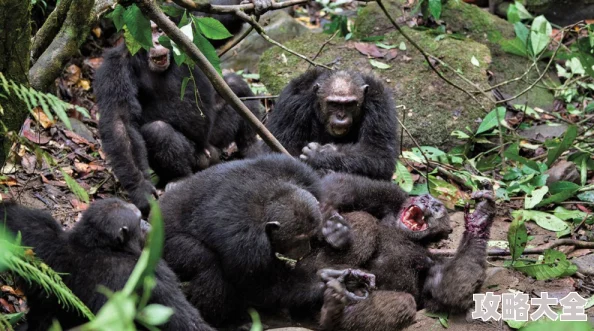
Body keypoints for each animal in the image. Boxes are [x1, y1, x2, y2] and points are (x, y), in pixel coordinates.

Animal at [0, 200, 213, 331]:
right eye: (138, 219)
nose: (146, 222)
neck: (100, 247)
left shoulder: (42, 233)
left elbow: (12, 217)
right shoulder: (153, 275)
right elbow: (179, 317)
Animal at [95, 3, 266, 217]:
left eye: (160, 29)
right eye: (148, 31)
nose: (157, 41)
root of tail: (209, 154)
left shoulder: (182, 34)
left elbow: (212, 25)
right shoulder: (115, 68)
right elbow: (120, 121)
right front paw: (141, 191)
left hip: (216, 137)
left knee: (236, 87)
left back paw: (252, 146)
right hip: (195, 157)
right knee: (158, 131)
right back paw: (178, 179)